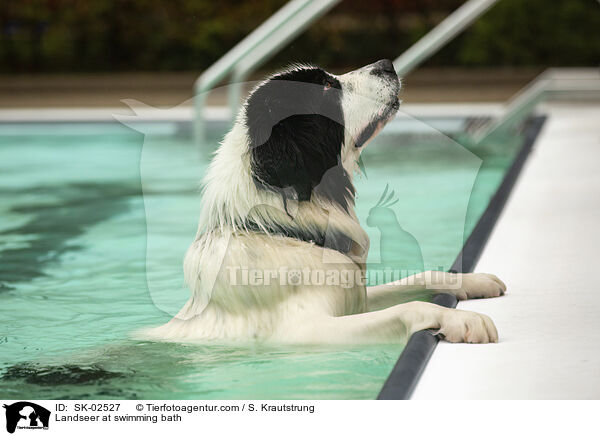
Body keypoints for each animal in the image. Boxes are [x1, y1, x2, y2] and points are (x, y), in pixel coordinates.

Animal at [143, 58, 504, 344]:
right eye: (328, 88)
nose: (387, 64)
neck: (282, 229)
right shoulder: (305, 331)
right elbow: (407, 308)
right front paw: (461, 318)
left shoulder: (354, 297)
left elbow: (418, 278)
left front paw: (471, 280)